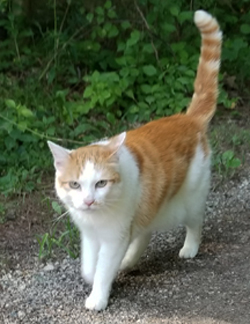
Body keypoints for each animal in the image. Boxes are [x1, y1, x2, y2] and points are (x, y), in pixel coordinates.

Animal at [47, 10, 222, 312]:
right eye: (75, 185)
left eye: (101, 183)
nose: (89, 201)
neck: (97, 217)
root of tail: (187, 118)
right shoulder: (90, 235)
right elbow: (89, 266)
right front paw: (95, 274)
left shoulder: (114, 236)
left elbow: (103, 268)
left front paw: (98, 296)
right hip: (151, 207)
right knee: (144, 232)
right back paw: (130, 261)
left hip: (187, 201)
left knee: (195, 221)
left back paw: (189, 247)